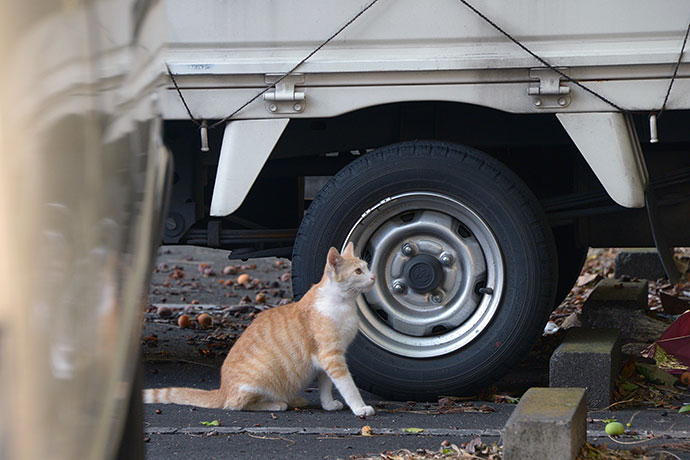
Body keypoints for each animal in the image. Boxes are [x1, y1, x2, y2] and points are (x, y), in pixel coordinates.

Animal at [142, 244, 374, 416]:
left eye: (367, 266)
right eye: (358, 271)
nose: (372, 277)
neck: (343, 303)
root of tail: (222, 390)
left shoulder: (327, 358)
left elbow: (326, 385)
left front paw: (328, 404)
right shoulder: (331, 355)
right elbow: (348, 385)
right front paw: (360, 407)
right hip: (259, 378)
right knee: (235, 405)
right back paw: (278, 403)